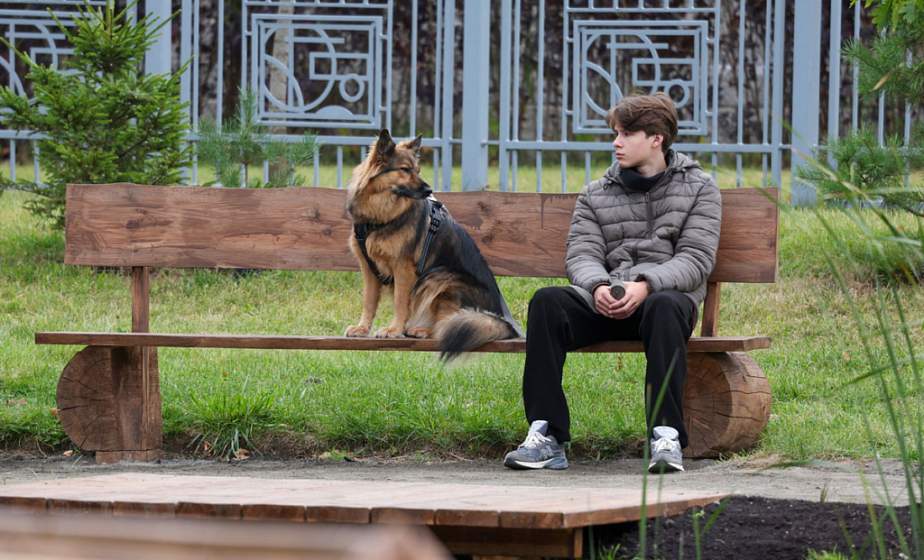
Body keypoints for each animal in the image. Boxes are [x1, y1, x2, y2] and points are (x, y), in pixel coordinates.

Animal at [344, 129, 521, 360]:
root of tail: (503, 320)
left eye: (417, 170)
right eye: (405, 169)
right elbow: (369, 301)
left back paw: (422, 330)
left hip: (439, 276)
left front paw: (394, 329)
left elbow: (400, 302)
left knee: (450, 324)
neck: (380, 215)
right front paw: (362, 328)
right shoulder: (369, 268)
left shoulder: (403, 268)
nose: (429, 190)